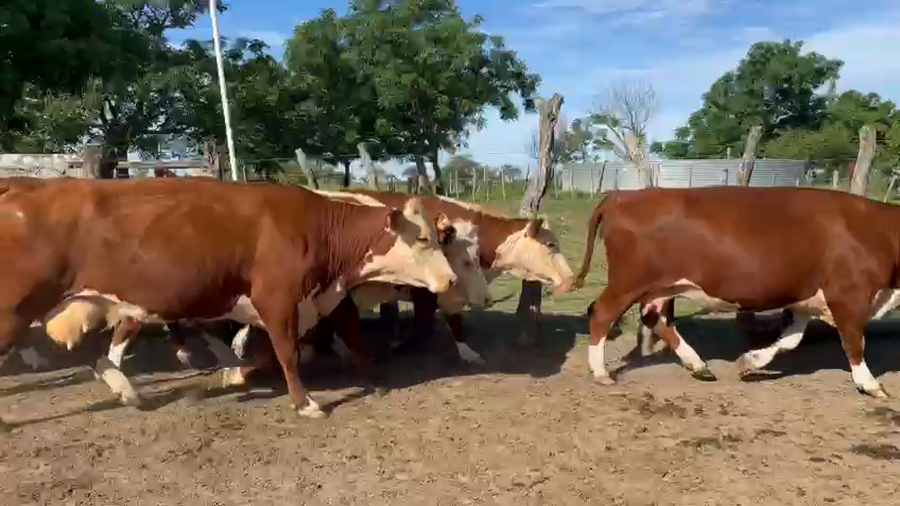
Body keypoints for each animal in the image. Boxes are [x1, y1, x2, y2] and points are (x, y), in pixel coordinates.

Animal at [0, 177, 457, 419]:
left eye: (438, 238)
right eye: (421, 239)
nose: (451, 279)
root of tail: (25, 189)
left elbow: (293, 348)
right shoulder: (278, 300)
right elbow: (287, 354)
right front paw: (305, 403)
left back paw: (124, 387)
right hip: (15, 309)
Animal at [570, 186, 900, 399]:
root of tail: (622, 195)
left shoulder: (807, 299)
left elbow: (790, 340)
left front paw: (750, 362)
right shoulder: (849, 296)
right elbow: (854, 343)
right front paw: (870, 383)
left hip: (663, 286)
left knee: (657, 319)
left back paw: (698, 365)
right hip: (629, 281)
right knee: (602, 313)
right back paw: (600, 372)